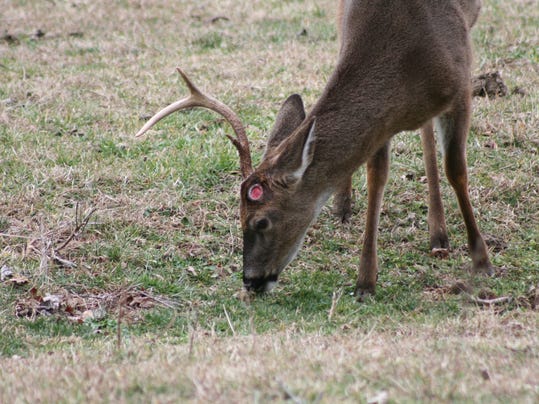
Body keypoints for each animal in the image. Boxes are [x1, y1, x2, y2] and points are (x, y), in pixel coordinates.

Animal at [135, 0, 494, 296]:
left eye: (261, 222)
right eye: (238, 216)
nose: (250, 280)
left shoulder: (461, 84)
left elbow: (456, 170)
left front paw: (481, 260)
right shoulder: (382, 121)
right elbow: (376, 177)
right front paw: (366, 280)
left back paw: (439, 234)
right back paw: (347, 205)